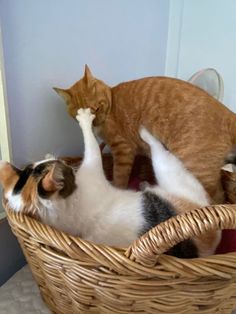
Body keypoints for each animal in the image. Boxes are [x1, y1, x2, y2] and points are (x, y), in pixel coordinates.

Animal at [0, 109, 219, 258]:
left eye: (37, 166)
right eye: (66, 170)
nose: (62, 161)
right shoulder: (93, 166)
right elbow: (91, 143)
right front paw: (85, 118)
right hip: (169, 170)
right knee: (156, 146)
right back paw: (144, 133)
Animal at [54, 65, 236, 204]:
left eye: (97, 108)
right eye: (78, 114)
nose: (94, 122)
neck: (111, 104)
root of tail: (228, 113)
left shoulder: (123, 150)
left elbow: (119, 177)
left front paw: (117, 188)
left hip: (196, 167)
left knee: (217, 199)